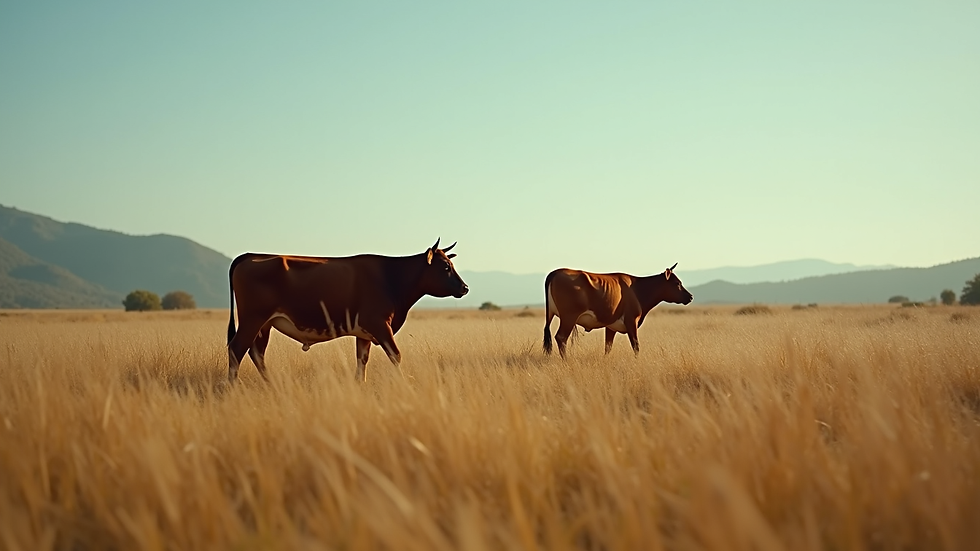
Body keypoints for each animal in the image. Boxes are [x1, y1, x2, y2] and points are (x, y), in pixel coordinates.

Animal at [226, 238, 468, 383]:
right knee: (237, 349)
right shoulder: (379, 324)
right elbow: (396, 355)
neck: (391, 277)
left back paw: (271, 384)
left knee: (256, 352)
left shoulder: (364, 333)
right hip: (253, 319)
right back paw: (233, 387)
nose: (465, 287)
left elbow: (362, 361)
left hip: (264, 324)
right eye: (445, 267)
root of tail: (250, 255)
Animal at [542, 263, 693, 358]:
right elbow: (636, 346)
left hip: (553, 315)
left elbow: (608, 347)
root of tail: (555, 272)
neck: (637, 289)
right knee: (561, 338)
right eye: (677, 283)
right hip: (569, 317)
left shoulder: (611, 326)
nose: (690, 296)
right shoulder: (631, 321)